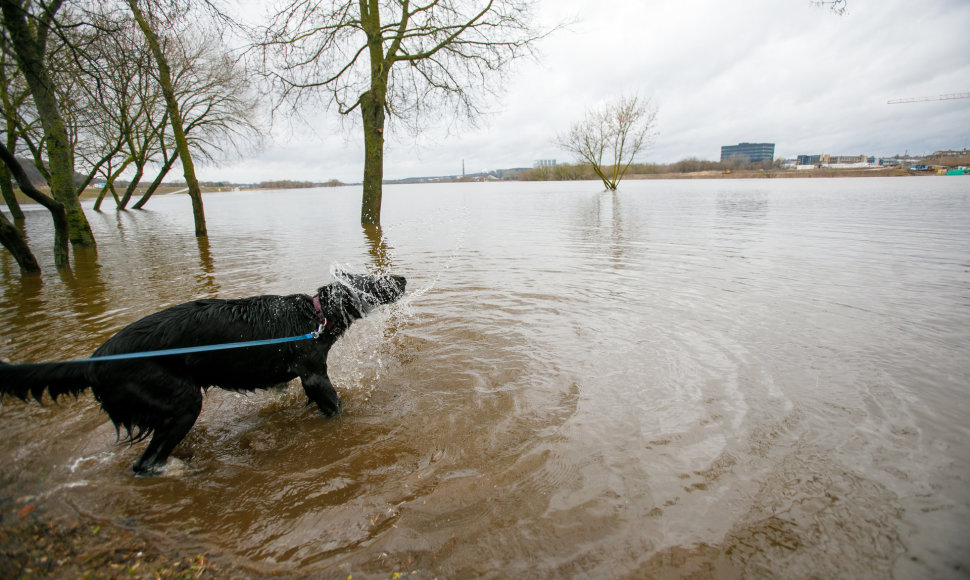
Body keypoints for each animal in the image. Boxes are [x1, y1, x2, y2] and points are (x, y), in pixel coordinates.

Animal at [0, 272, 404, 476]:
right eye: (376, 280)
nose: (401, 276)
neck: (314, 316)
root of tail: (94, 362)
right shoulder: (315, 376)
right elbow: (336, 406)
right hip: (182, 402)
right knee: (145, 463)